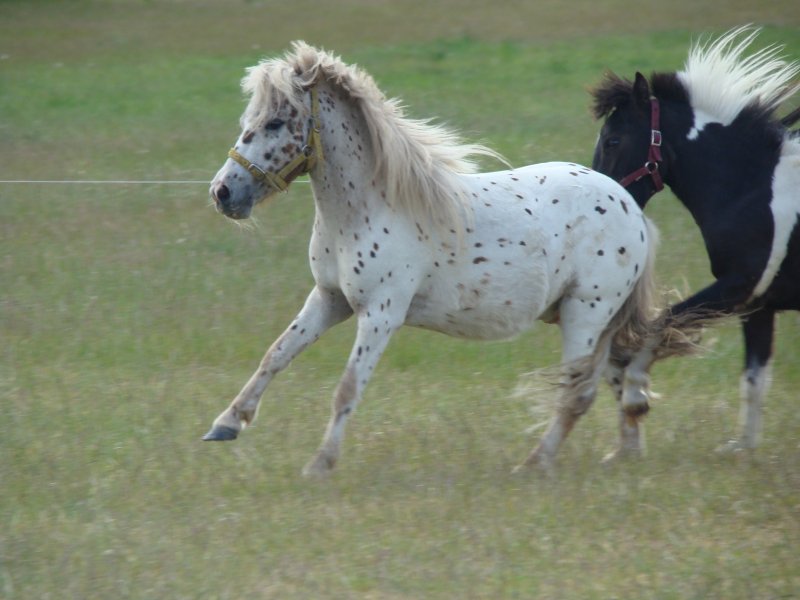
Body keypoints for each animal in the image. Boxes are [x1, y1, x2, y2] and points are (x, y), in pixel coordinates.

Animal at [203, 41, 689, 476]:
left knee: (576, 394)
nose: (223, 193)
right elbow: (276, 355)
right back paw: (625, 454)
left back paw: (535, 463)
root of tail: (631, 207)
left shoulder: (381, 313)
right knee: (614, 377)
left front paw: (320, 464)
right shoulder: (329, 299)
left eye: (276, 122)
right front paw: (226, 424)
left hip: (585, 313)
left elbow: (347, 389)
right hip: (595, 321)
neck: (369, 206)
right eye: (249, 121)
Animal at [591, 27, 800, 454]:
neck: (756, 188)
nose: (603, 199)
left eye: (613, 141)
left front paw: (636, 395)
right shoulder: (758, 303)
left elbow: (662, 323)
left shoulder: (738, 286)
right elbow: (753, 378)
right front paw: (742, 449)